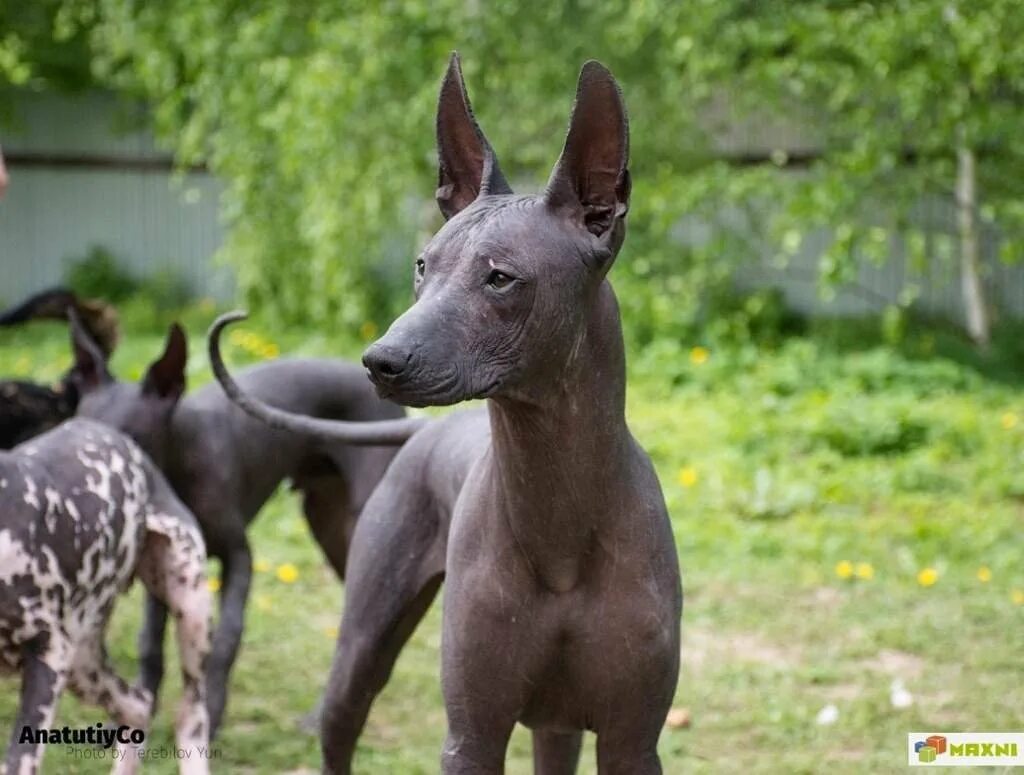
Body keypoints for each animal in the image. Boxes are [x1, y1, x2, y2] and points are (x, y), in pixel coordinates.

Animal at [65, 315, 423, 737]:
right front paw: (140, 709)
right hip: (330, 527)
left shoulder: (240, 557)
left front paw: (211, 712)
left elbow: (226, 639)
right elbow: (150, 641)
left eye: (132, 440)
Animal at [206, 56, 684, 773]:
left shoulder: (632, 742)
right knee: (339, 725)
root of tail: (425, 430)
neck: (561, 522)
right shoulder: (472, 734)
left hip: (558, 726)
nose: (379, 361)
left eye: (500, 277)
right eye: (422, 266)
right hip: (362, 648)